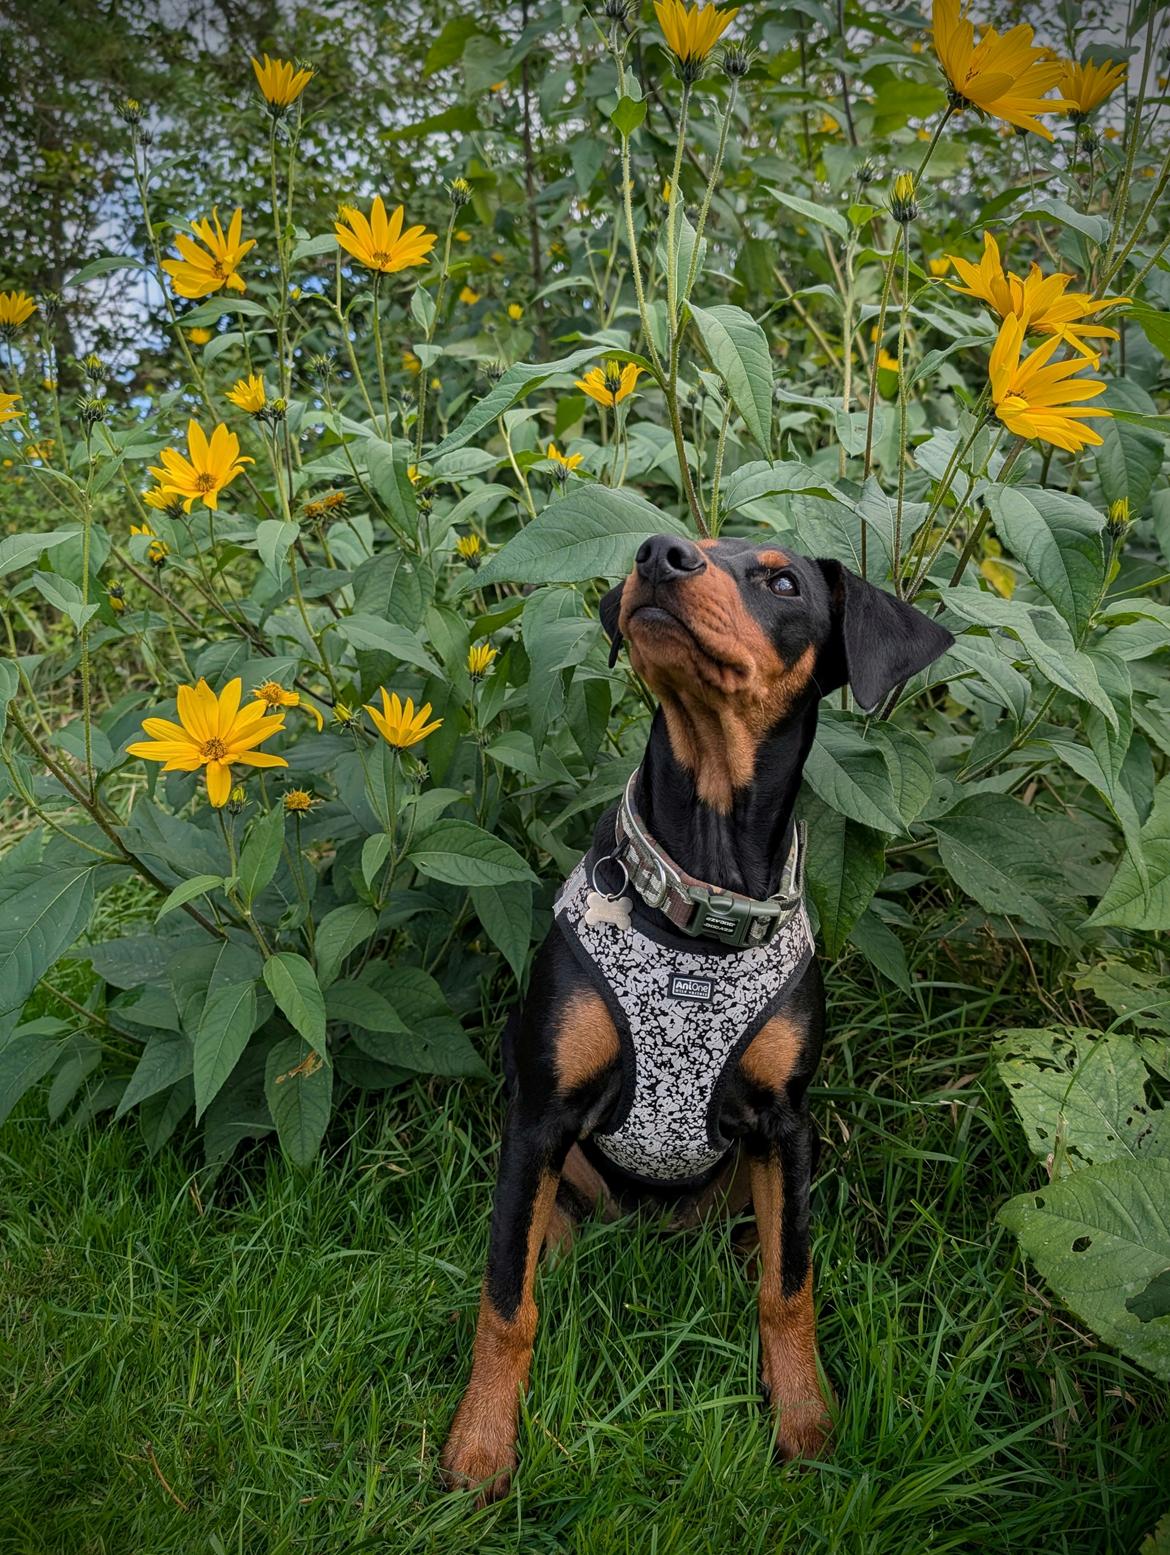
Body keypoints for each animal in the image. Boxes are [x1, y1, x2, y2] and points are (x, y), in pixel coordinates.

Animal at [438, 531, 952, 1492]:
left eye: (783, 580)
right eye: (691, 539)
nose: (658, 552)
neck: (701, 904)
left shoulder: (786, 1118)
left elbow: (790, 1290)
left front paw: (808, 1423)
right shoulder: (540, 1112)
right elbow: (506, 1301)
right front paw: (481, 1443)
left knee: (773, 1235)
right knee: (544, 1223)